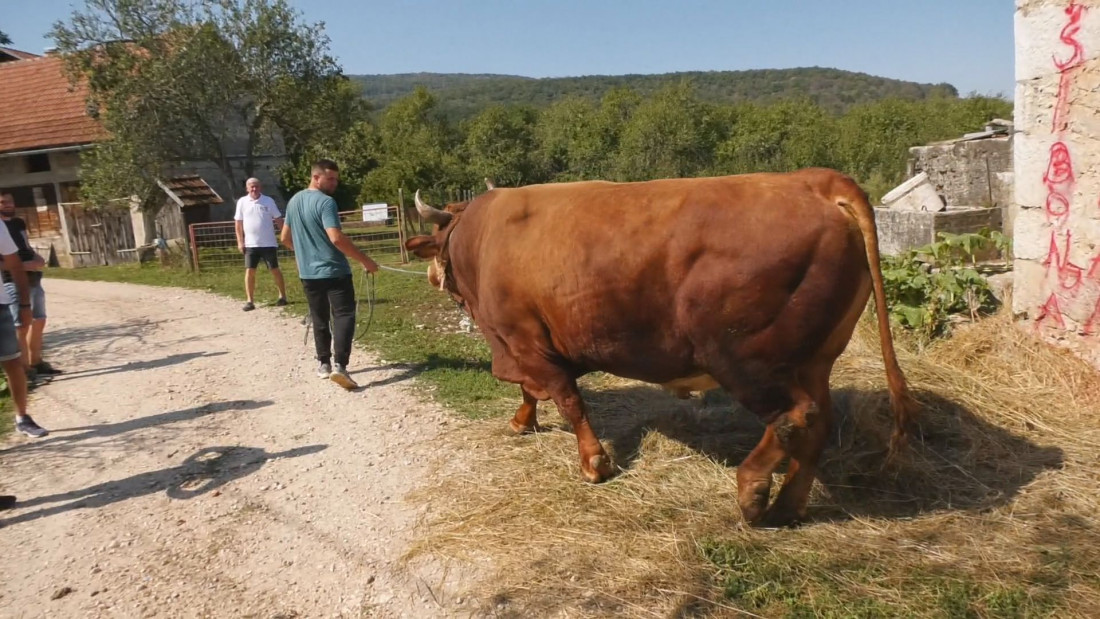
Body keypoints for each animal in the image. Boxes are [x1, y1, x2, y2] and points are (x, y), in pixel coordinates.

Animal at [409, 169, 915, 527]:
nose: (433, 277)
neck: (482, 237)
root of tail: (813, 179)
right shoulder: (526, 346)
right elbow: (533, 391)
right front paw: (522, 421)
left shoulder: (523, 339)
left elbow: (568, 398)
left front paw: (594, 463)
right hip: (815, 359)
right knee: (818, 423)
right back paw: (787, 508)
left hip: (744, 358)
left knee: (796, 416)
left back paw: (751, 491)